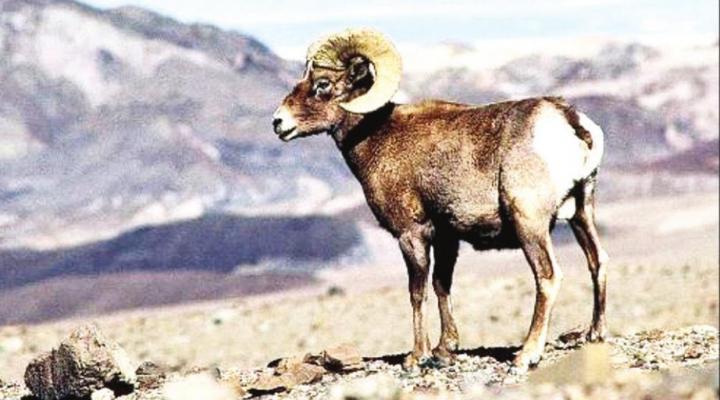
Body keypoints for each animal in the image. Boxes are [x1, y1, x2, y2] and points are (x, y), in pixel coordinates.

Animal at [272, 29, 609, 372]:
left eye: (323, 84)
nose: (278, 123)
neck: (375, 138)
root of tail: (571, 122)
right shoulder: (448, 237)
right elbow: (441, 284)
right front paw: (445, 349)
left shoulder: (412, 234)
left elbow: (417, 292)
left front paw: (416, 355)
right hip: (582, 212)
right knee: (598, 262)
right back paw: (595, 334)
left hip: (529, 223)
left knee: (548, 277)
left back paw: (527, 354)